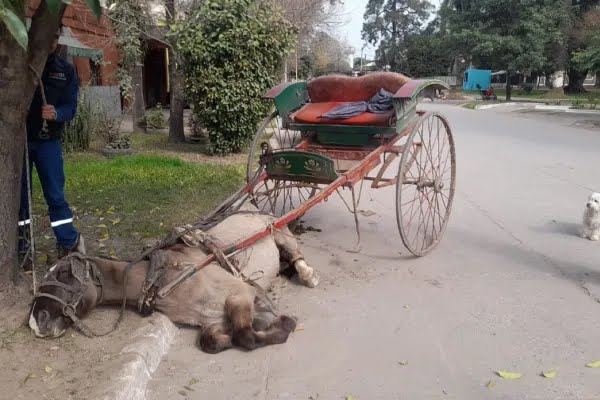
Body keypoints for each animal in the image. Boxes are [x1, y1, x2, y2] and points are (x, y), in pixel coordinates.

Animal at [28, 209, 318, 354]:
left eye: (64, 273)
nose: (35, 321)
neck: (162, 277)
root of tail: (256, 208)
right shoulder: (212, 319)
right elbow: (213, 342)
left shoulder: (240, 294)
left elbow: (246, 338)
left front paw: (282, 323)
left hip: (280, 234)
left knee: (295, 255)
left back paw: (307, 274)